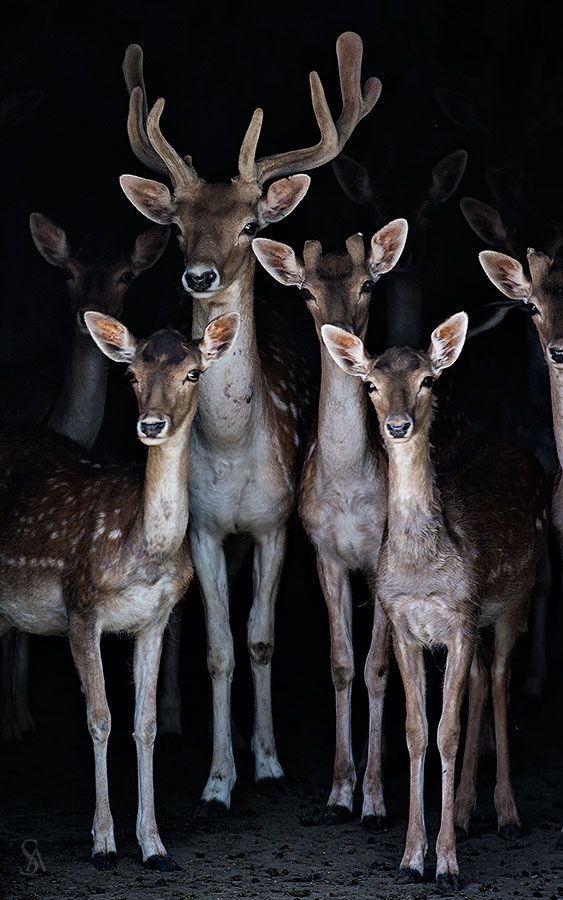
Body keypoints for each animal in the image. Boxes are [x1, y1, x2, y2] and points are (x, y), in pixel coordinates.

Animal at [0, 308, 240, 864]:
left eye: (193, 373)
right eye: (131, 375)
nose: (151, 425)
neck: (141, 552)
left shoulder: (154, 619)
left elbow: (144, 723)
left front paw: (153, 844)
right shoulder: (80, 607)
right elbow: (100, 717)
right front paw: (104, 843)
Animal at [119, 29, 384, 816]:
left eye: (249, 222)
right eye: (178, 223)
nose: (200, 276)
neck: (235, 451)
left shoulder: (273, 524)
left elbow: (261, 639)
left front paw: (266, 762)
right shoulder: (205, 528)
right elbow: (218, 649)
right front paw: (217, 778)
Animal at [253, 218, 408, 828]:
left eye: (368, 283)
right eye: (305, 292)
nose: (337, 331)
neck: (347, 488)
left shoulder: (384, 556)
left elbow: (378, 667)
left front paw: (376, 800)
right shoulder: (323, 550)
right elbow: (343, 663)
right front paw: (340, 792)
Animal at [324, 312, 548, 888]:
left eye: (427, 379)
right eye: (371, 384)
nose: (398, 425)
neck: (424, 570)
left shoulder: (461, 617)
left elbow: (447, 731)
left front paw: (446, 864)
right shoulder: (407, 625)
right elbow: (416, 732)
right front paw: (410, 858)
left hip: (517, 598)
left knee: (499, 681)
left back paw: (506, 814)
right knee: (479, 681)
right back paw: (467, 811)